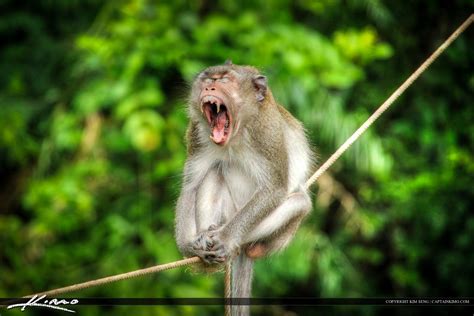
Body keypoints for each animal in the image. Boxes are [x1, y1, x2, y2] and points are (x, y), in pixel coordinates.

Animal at [176, 60, 312, 314]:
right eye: (208, 80)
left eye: (224, 81)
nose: (209, 88)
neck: (236, 135)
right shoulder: (197, 133)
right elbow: (191, 186)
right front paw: (189, 246)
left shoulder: (266, 132)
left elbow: (274, 189)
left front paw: (225, 239)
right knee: (215, 171)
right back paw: (205, 235)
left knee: (300, 202)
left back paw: (232, 242)